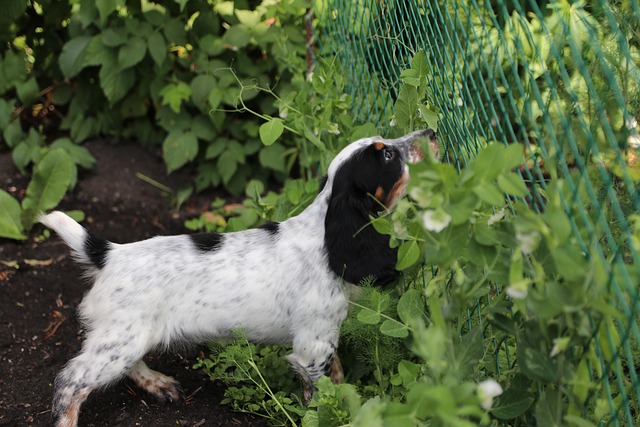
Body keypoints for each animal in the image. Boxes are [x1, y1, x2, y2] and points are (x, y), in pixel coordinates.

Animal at [38, 129, 436, 426]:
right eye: (387, 156)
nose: (430, 132)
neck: (324, 237)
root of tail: (110, 254)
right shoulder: (311, 348)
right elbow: (322, 395)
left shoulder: (324, 338)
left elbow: (336, 376)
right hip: (120, 340)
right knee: (69, 381)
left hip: (129, 337)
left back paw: (158, 383)